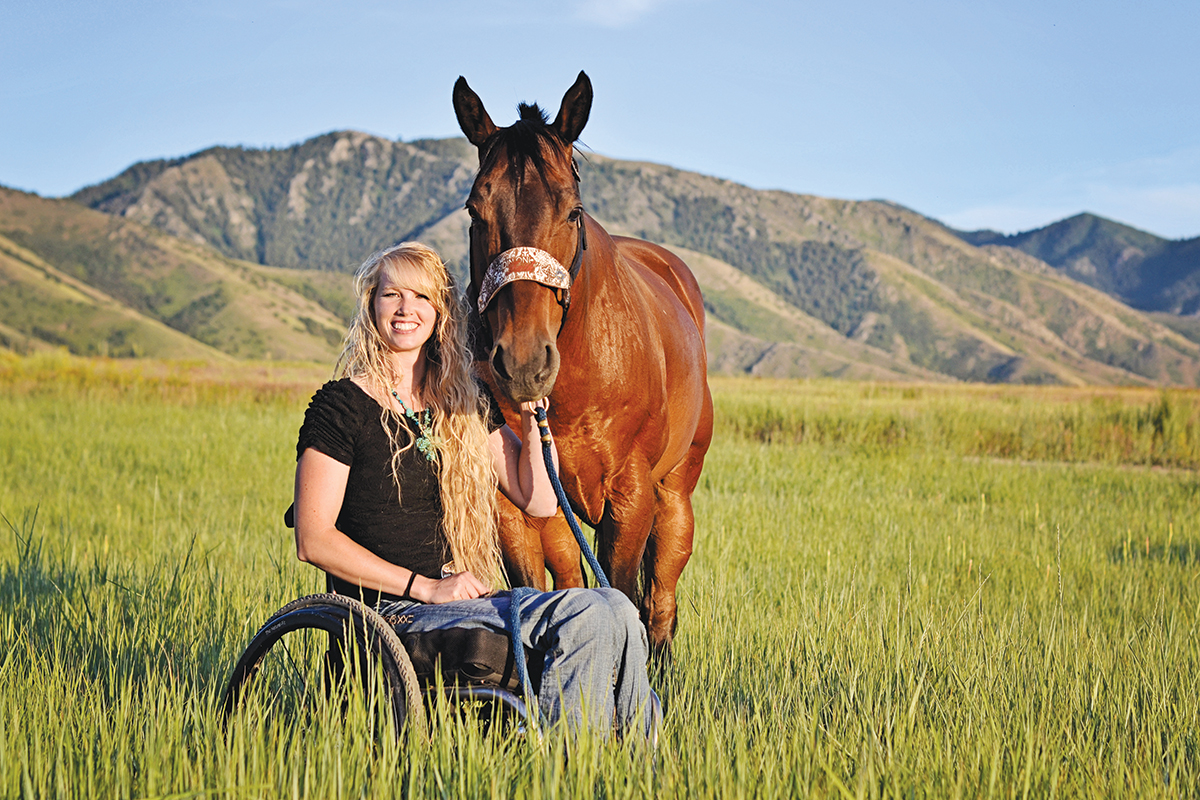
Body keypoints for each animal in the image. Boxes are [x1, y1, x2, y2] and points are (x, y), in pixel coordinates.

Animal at [451, 71, 710, 652]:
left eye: (572, 210)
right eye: (475, 210)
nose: (523, 363)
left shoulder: (631, 498)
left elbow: (627, 596)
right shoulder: (517, 510)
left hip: (675, 492)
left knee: (661, 598)